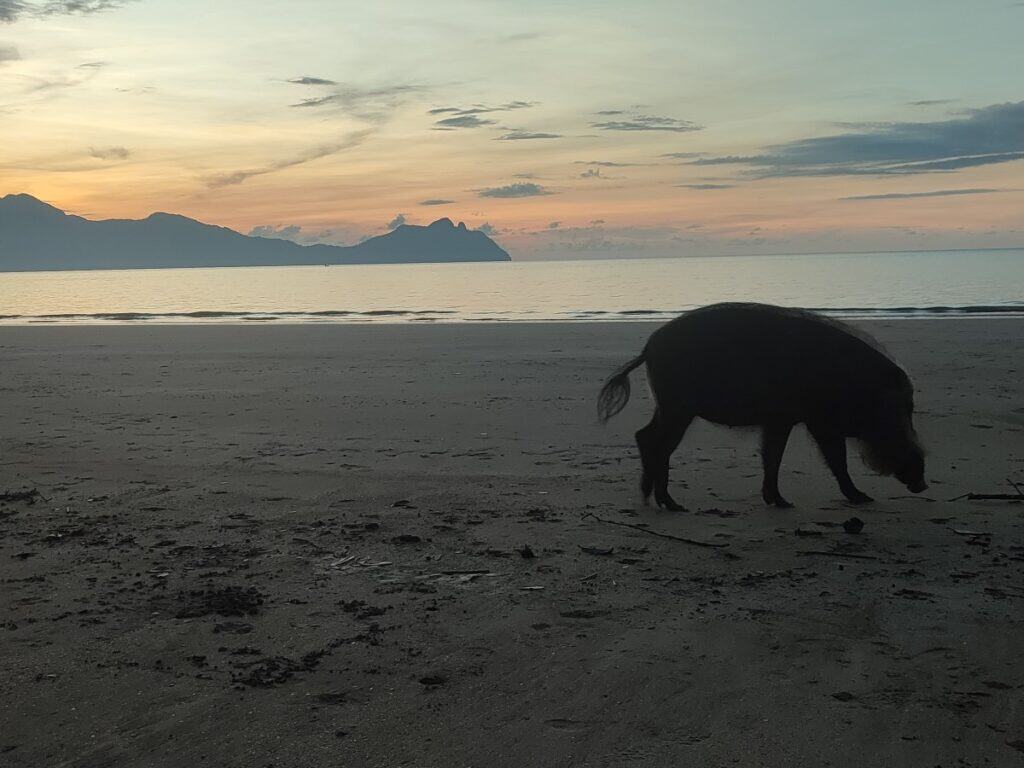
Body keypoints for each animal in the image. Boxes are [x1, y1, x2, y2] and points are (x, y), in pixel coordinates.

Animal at [597, 302, 926, 510]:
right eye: (903, 409)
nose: (922, 484)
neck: (858, 386)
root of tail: (649, 347)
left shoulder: (781, 420)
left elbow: (772, 457)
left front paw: (782, 502)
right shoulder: (819, 422)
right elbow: (836, 460)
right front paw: (863, 498)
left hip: (667, 406)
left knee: (644, 436)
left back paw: (648, 498)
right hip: (677, 407)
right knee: (658, 444)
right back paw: (672, 505)